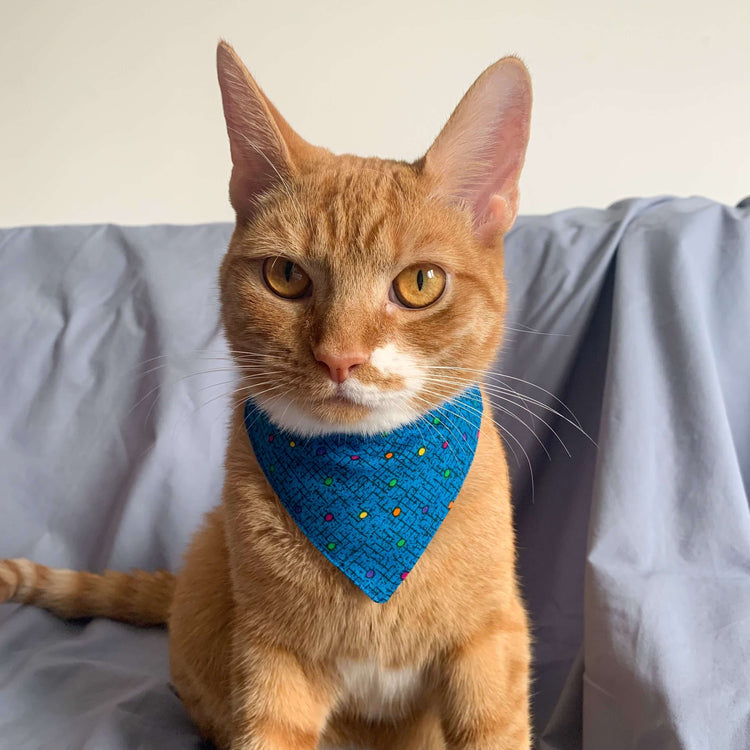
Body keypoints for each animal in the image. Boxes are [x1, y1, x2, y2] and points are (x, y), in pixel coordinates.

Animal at [0, 42, 536, 750]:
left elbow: (495, 725)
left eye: (421, 283)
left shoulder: (490, 643)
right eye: (285, 276)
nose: (340, 356)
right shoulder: (271, 657)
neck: (369, 495)